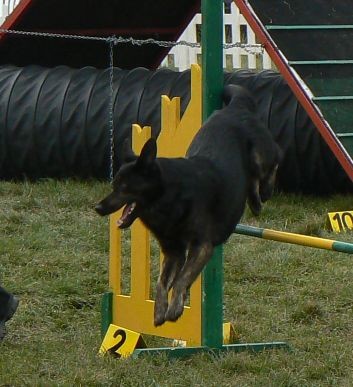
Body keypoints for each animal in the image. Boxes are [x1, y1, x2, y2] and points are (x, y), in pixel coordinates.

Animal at [95, 85, 280, 328]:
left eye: (124, 187)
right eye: (114, 185)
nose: (98, 207)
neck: (169, 198)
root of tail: (235, 107)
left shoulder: (201, 246)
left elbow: (181, 279)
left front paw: (175, 308)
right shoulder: (173, 251)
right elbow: (162, 282)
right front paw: (159, 311)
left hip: (261, 155)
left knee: (274, 160)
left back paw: (264, 192)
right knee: (252, 180)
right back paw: (255, 201)